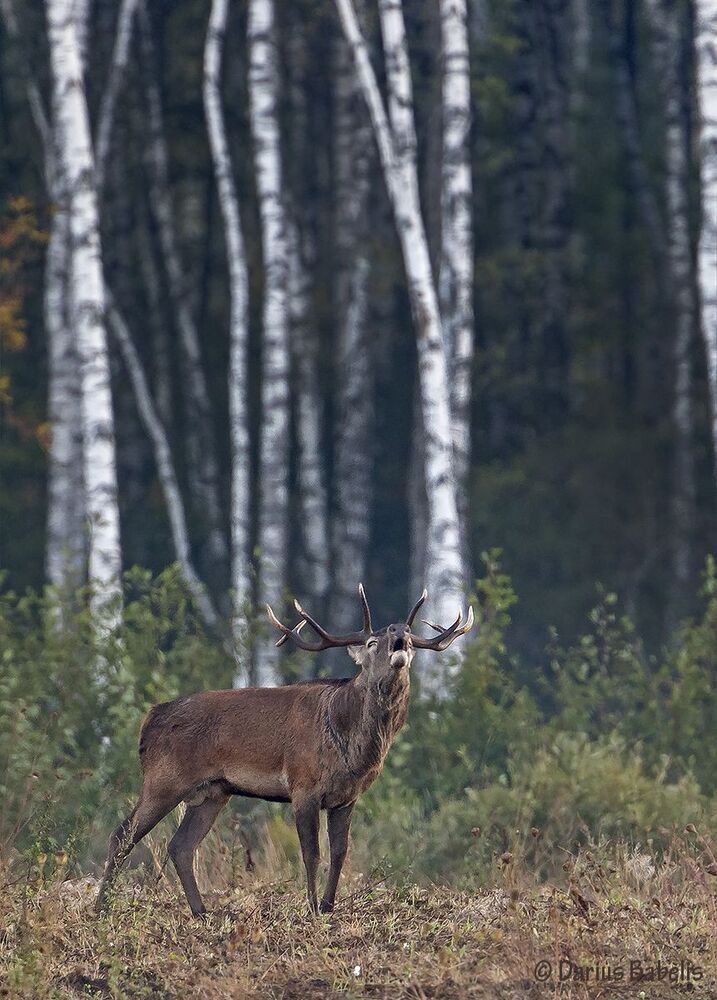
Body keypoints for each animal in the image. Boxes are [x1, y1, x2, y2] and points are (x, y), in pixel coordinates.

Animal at [95, 585, 473, 918]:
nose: (399, 630)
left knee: (181, 846)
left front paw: (328, 906)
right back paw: (101, 909)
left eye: (409, 637)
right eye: (371, 642)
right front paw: (311, 908)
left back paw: (202, 913)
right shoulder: (303, 786)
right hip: (164, 779)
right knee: (121, 835)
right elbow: (312, 853)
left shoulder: (347, 797)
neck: (351, 746)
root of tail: (149, 720)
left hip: (212, 792)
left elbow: (340, 852)